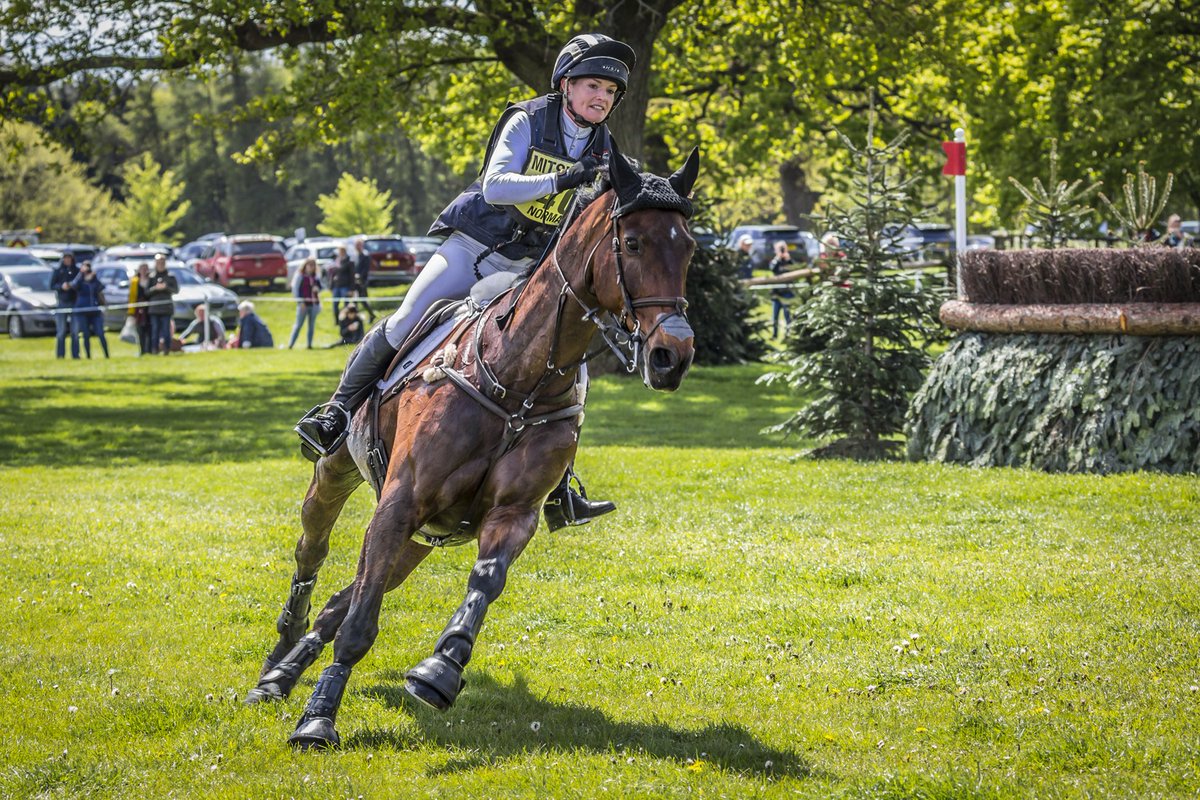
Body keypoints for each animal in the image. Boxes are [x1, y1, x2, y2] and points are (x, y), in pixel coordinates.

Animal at [243, 142, 701, 750]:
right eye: (632, 244)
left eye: (689, 247)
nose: (672, 356)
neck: (519, 382)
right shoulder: (400, 502)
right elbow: (361, 623)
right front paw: (318, 719)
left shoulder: (512, 512)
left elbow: (485, 580)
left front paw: (441, 668)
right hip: (339, 475)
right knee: (312, 553)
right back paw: (278, 658)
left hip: (423, 538)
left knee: (345, 596)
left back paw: (286, 672)